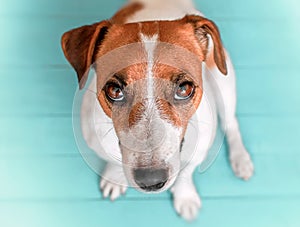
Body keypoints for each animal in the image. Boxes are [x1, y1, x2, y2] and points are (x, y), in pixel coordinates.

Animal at [60, 0, 253, 221]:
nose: (150, 180)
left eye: (185, 88)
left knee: (231, 123)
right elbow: (113, 161)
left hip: (224, 84)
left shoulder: (198, 153)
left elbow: (185, 174)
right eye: (114, 90)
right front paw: (114, 177)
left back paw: (240, 159)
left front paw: (185, 196)